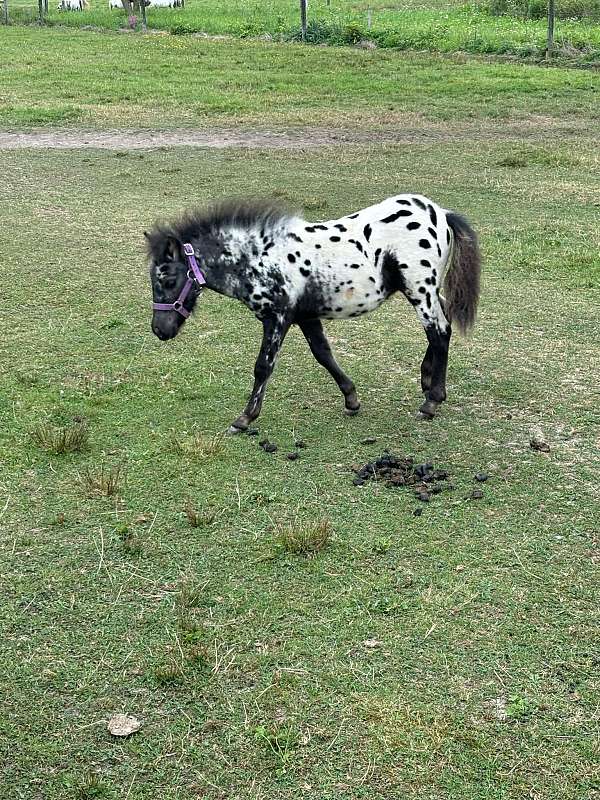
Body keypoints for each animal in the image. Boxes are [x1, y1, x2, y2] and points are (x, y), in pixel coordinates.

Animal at [148, 194, 480, 432]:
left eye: (168, 279)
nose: (159, 330)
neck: (259, 257)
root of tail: (440, 213)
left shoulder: (277, 318)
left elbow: (263, 367)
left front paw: (245, 418)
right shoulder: (305, 317)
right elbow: (323, 354)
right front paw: (351, 399)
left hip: (420, 290)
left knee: (438, 331)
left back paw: (432, 402)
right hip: (427, 292)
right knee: (443, 325)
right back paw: (426, 380)